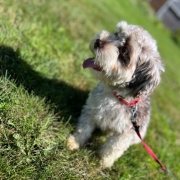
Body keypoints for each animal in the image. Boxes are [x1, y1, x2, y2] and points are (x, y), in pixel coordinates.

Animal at [66, 21, 165, 169]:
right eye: (117, 34)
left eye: (124, 51)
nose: (98, 41)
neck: (117, 98)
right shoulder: (91, 111)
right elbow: (83, 129)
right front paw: (74, 142)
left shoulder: (126, 133)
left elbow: (113, 148)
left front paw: (103, 162)